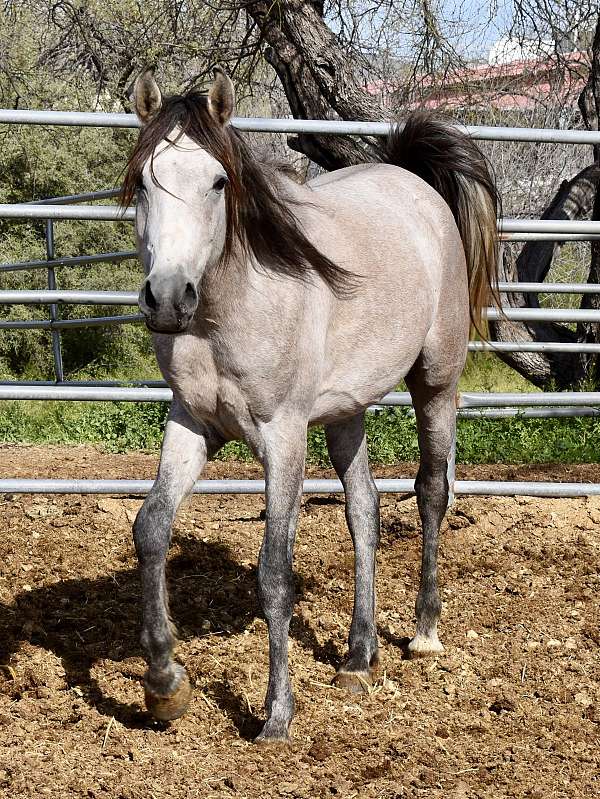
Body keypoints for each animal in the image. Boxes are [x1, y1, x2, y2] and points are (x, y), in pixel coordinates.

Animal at [123, 69, 496, 744]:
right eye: (143, 181)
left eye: (219, 181)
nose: (167, 298)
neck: (228, 311)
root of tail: (413, 184)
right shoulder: (192, 424)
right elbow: (151, 529)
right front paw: (165, 685)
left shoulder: (283, 436)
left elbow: (275, 569)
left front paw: (276, 713)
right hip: (347, 411)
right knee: (364, 510)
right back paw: (357, 657)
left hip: (436, 383)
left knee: (432, 491)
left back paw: (423, 633)